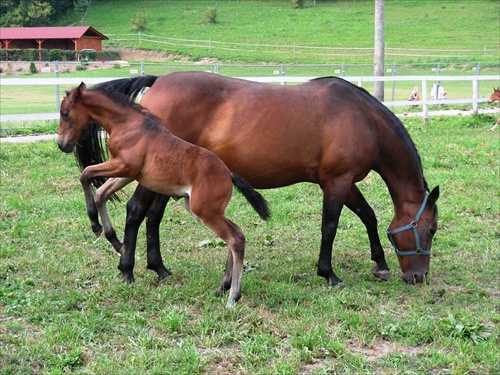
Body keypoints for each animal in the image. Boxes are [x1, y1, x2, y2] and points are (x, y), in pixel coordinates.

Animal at [57, 82, 272, 306]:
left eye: (65, 113)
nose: (62, 144)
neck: (127, 125)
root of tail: (228, 173)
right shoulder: (127, 173)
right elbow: (100, 193)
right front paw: (114, 240)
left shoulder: (124, 166)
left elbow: (86, 174)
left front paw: (96, 225)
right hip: (203, 209)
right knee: (236, 233)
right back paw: (224, 287)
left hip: (205, 211)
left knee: (235, 239)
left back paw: (233, 297)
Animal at [76, 72, 440, 286]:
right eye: (432, 229)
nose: (419, 276)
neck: (361, 118)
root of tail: (159, 81)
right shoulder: (337, 181)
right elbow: (330, 227)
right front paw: (329, 273)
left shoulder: (343, 182)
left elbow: (368, 216)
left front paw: (380, 264)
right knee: (136, 212)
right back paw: (127, 268)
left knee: (151, 216)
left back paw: (158, 268)